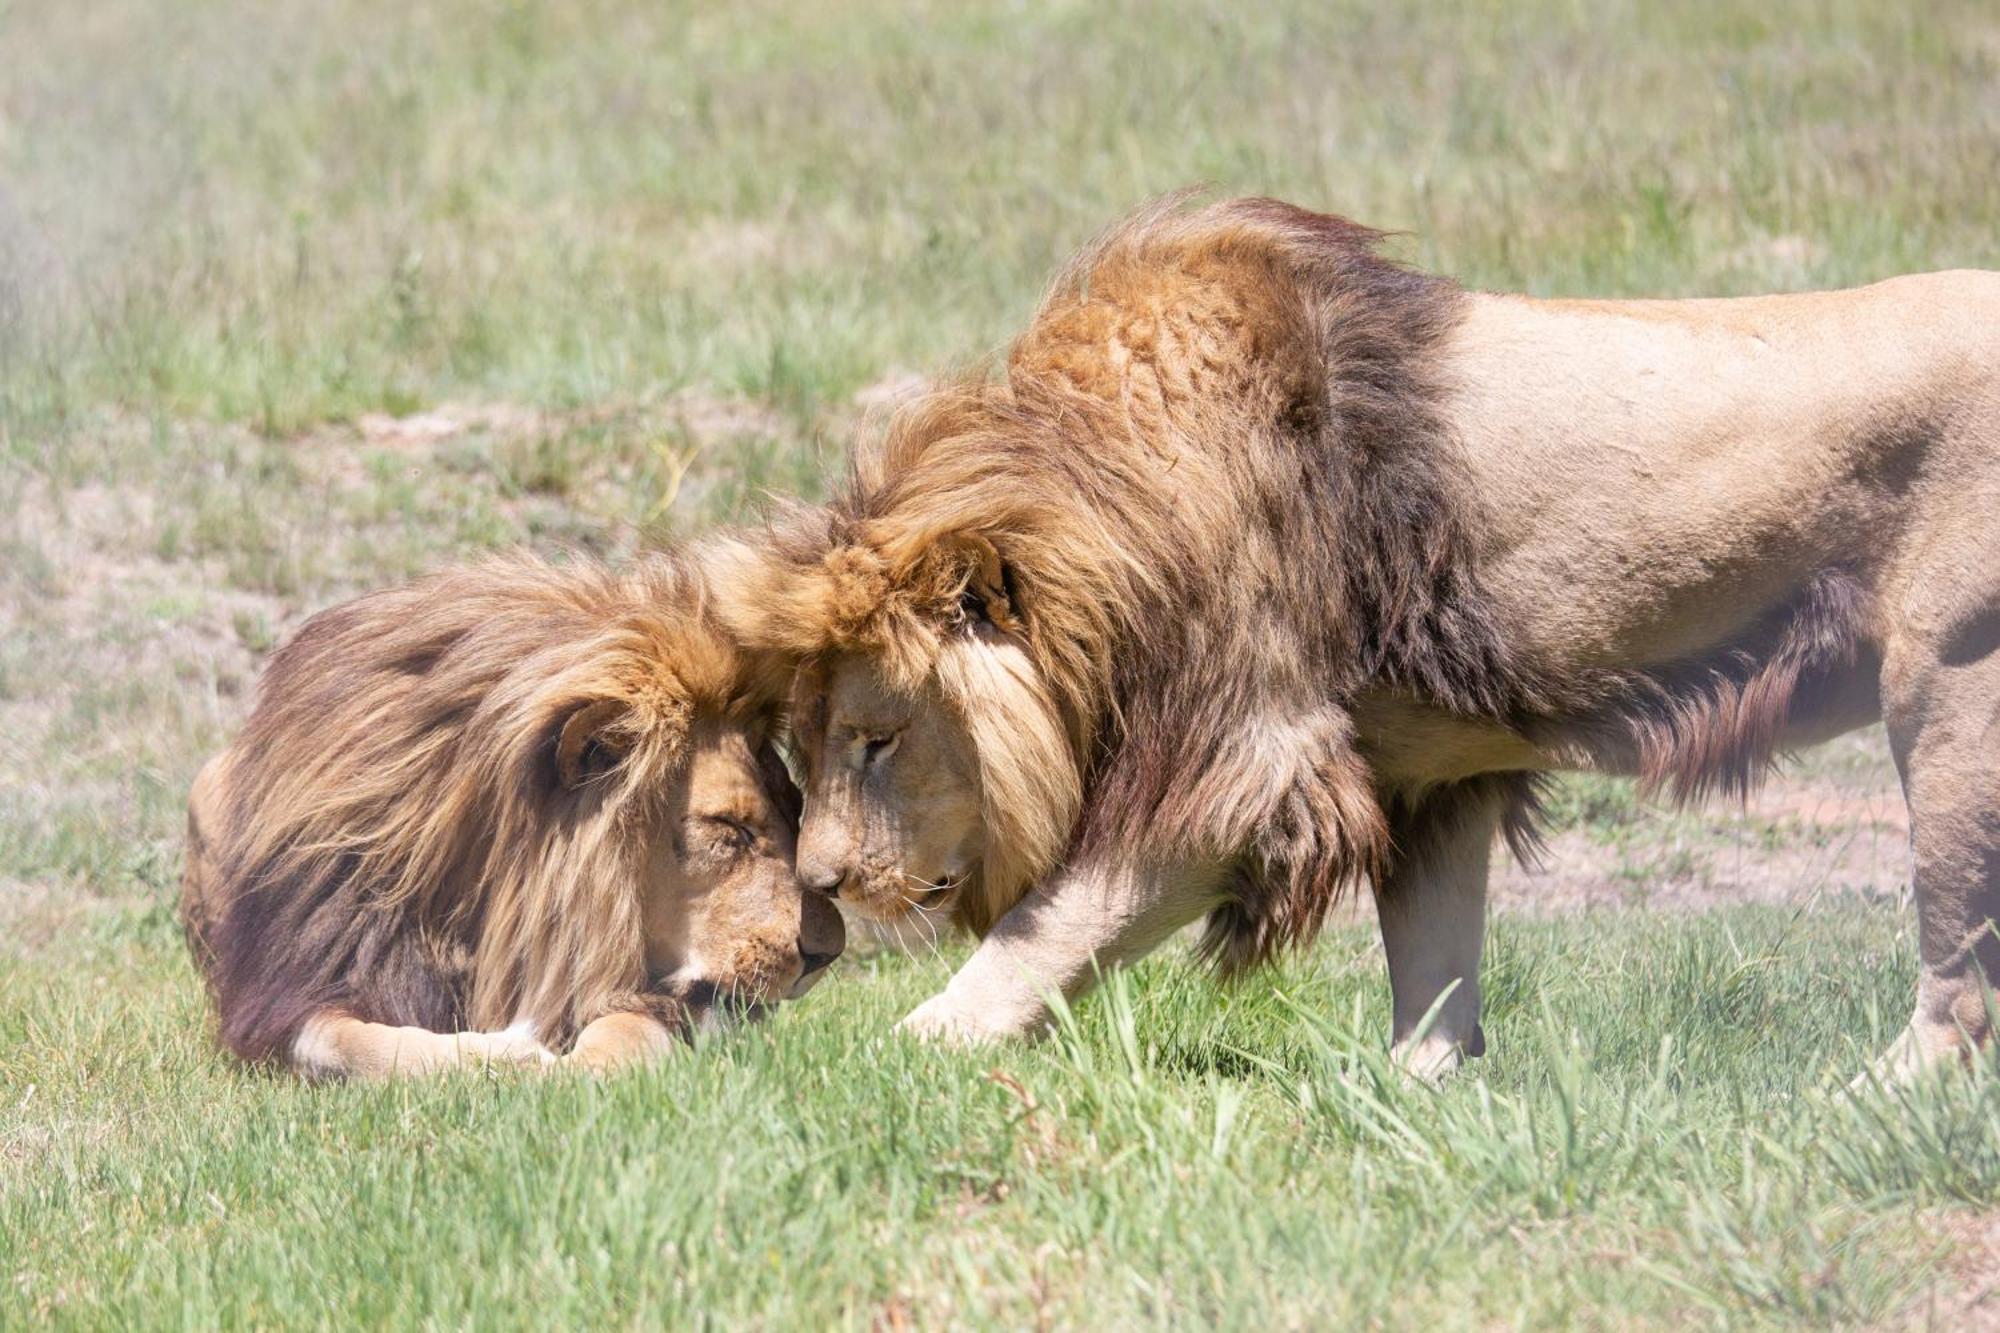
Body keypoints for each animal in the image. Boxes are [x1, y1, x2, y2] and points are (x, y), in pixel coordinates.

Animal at [180, 548, 844, 1080]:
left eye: (796, 813)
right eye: (730, 830)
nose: (828, 953)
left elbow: (624, 1036)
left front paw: (562, 1065)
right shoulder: (301, 983)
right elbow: (357, 1043)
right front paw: (504, 1052)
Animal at [720, 189, 2000, 1080]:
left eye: (876, 738)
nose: (819, 881)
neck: (1126, 509)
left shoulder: (1245, 762)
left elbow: (1048, 926)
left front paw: (879, 1062)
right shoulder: (1427, 773)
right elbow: (1434, 964)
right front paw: (1414, 1100)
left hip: (1950, 687)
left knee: (1955, 959)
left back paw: (1868, 1095)